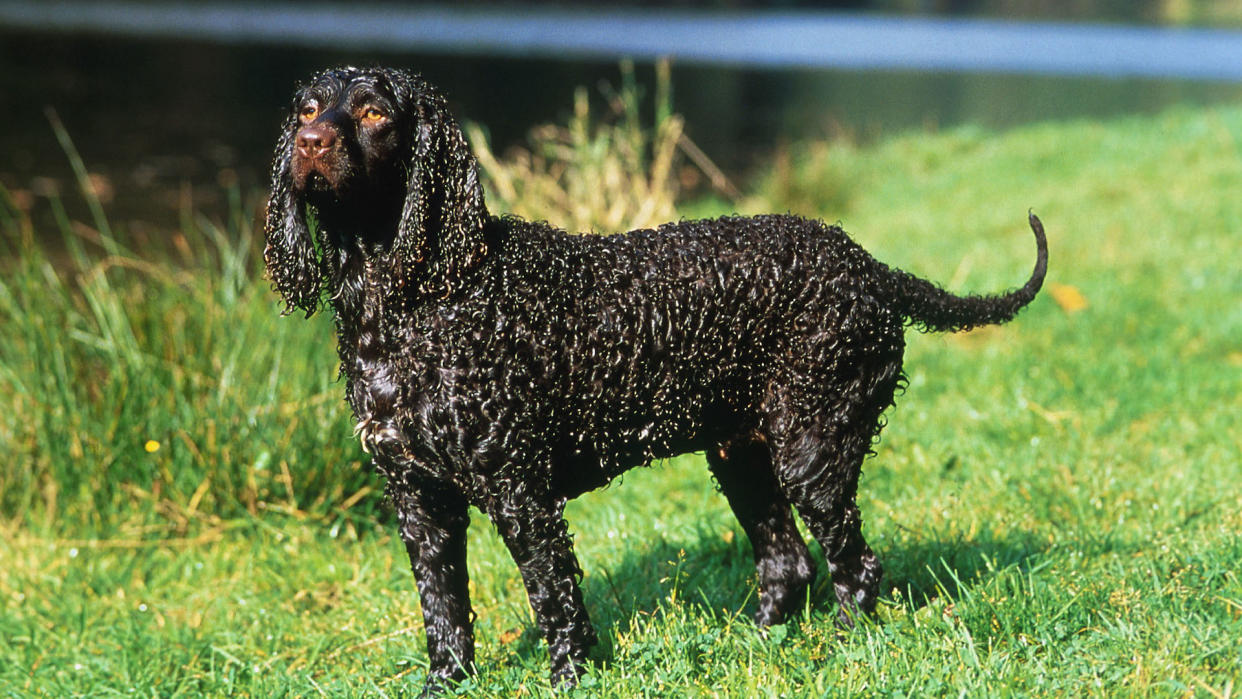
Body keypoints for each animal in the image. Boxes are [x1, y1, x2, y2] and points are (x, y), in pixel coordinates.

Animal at [262, 65, 1048, 690]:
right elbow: (443, 609)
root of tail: (869, 265)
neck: (414, 297)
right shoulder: (419, 501)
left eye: (373, 112)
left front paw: (570, 680)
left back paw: (845, 649)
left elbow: (554, 598)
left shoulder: (522, 492)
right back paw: (756, 647)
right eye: (308, 109)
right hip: (743, 456)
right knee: (787, 563)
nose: (311, 143)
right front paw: (445, 684)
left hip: (812, 451)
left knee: (857, 567)